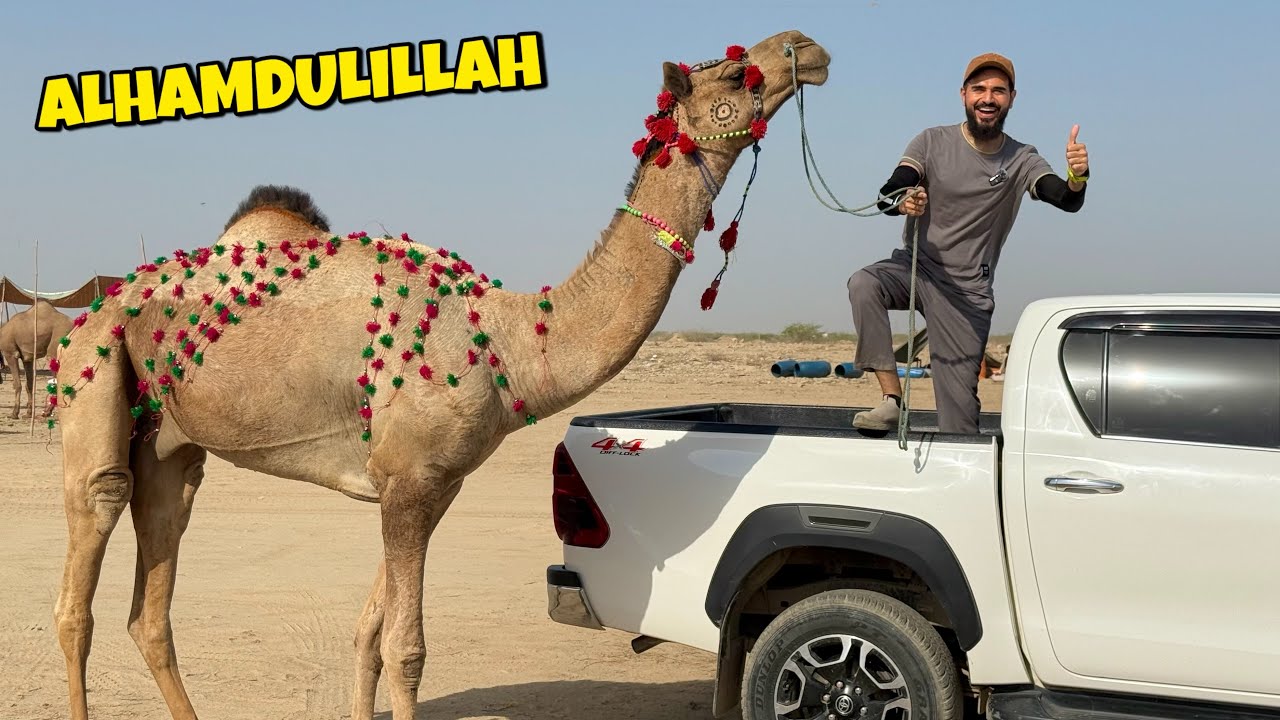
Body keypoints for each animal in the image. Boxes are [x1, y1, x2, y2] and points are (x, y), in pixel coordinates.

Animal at [49, 30, 830, 720]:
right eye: (733, 74)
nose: (806, 45)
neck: (509, 342)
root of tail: (99, 302)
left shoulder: (427, 486)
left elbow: (369, 634)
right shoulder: (409, 482)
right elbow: (407, 649)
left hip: (170, 445)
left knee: (153, 596)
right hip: (97, 369)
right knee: (80, 578)